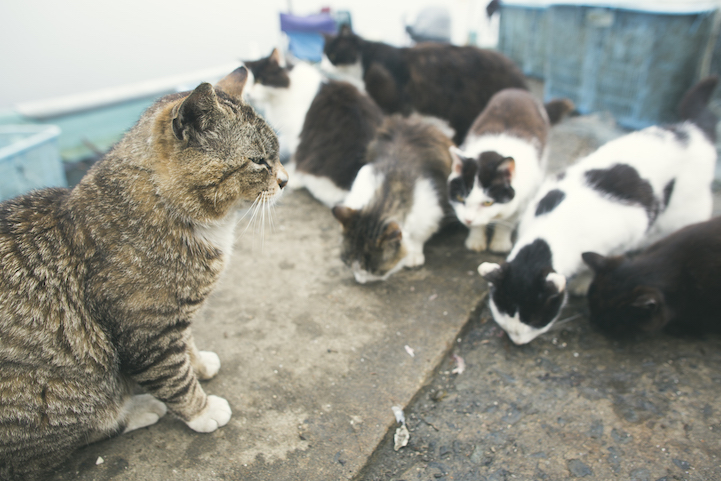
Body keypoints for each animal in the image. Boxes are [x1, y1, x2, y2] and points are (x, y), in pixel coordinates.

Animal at [0, 67, 286, 480]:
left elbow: (186, 345)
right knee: (74, 433)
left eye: (276, 156)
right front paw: (201, 410)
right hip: (50, 390)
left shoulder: (175, 316)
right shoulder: (147, 330)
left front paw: (199, 363)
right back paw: (139, 409)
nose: (285, 180)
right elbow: (173, 376)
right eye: (260, 161)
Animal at [324, 24, 524, 143]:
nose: (325, 63)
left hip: (467, 113)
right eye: (325, 53)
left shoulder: (393, 104)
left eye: (333, 54)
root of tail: (516, 72)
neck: (365, 59)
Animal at [330, 115, 450, 284]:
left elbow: (419, 235)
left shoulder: (431, 213)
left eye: (373, 270)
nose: (360, 281)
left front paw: (413, 254)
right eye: (348, 264)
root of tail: (412, 121)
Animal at [448, 87, 572, 251]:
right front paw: (476, 239)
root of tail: (517, 91)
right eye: (460, 198)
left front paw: (500, 242)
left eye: (487, 203)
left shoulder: (522, 200)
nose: (468, 220)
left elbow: (507, 222)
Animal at [476, 77, 716, 344]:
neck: (554, 227)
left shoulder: (625, 235)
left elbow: (602, 260)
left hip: (684, 212)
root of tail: (691, 131)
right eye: (504, 317)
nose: (517, 340)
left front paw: (583, 282)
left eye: (535, 320)